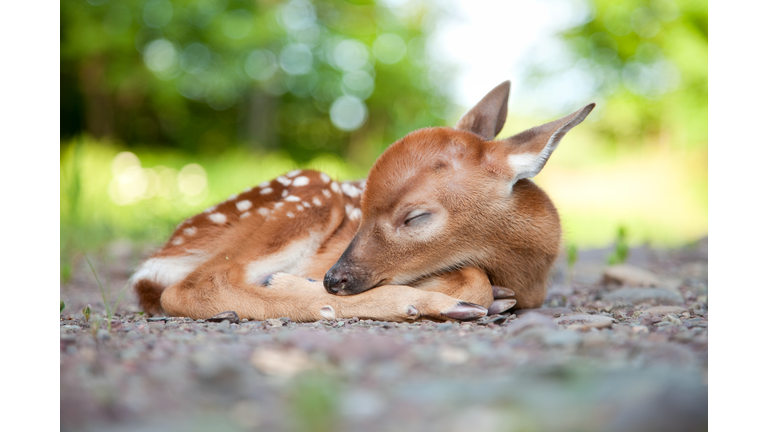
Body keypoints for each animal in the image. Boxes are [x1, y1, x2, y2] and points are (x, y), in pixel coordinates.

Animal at [132, 82, 592, 322]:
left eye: (416, 217)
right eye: (363, 209)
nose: (333, 279)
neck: (527, 274)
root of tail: (161, 256)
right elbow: (473, 278)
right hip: (310, 191)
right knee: (192, 286)